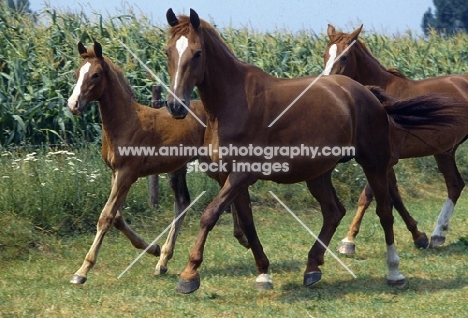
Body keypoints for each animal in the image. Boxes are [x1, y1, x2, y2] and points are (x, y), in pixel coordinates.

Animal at [66, 41, 249, 284]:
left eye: (95, 75)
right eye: (76, 74)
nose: (73, 104)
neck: (126, 122)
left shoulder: (127, 173)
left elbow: (106, 217)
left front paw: (82, 271)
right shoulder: (115, 172)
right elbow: (117, 217)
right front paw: (153, 248)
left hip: (211, 163)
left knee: (227, 188)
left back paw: (242, 238)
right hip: (179, 167)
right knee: (183, 201)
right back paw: (163, 260)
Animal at [324, 23, 468, 255]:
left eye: (344, 57)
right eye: (325, 54)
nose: (327, 82)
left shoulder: (384, 159)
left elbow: (368, 195)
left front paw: (348, 241)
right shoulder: (384, 160)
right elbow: (394, 196)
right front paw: (419, 236)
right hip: (445, 151)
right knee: (455, 184)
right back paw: (438, 234)